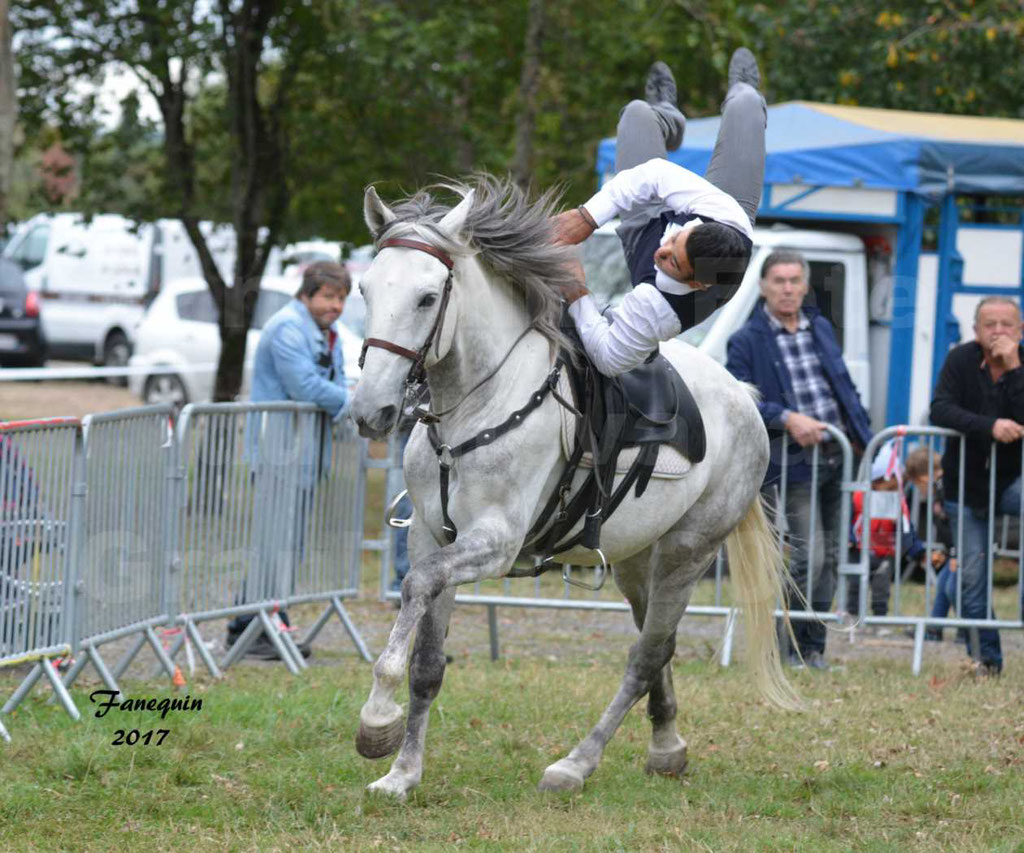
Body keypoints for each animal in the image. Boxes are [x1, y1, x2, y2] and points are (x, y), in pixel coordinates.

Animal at [348, 176, 794, 794]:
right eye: (364, 289)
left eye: (427, 298)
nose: (372, 412)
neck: (481, 404)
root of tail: (744, 397)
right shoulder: (432, 537)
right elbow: (428, 664)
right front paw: (402, 772)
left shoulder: (494, 543)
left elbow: (416, 588)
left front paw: (375, 720)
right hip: (636, 558)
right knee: (659, 646)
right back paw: (667, 746)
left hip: (688, 552)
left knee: (644, 656)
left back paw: (577, 763)